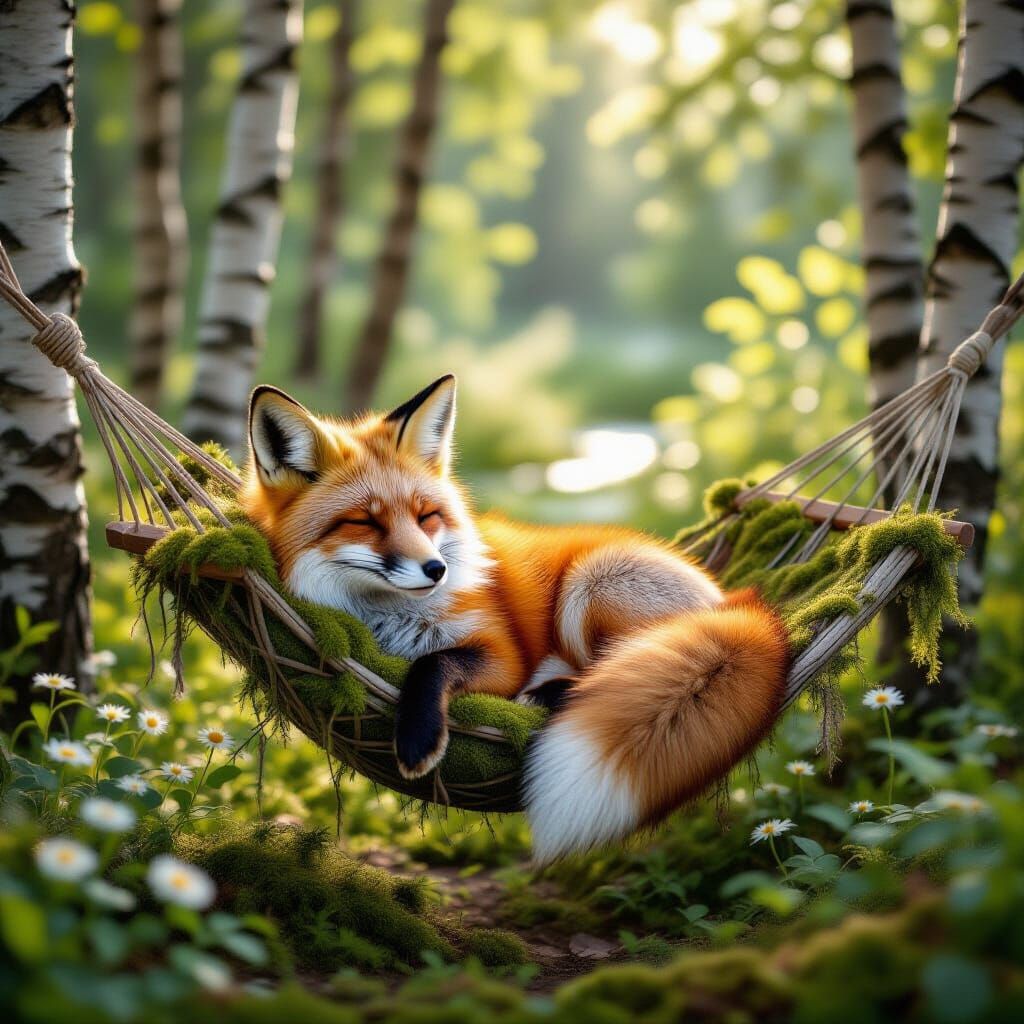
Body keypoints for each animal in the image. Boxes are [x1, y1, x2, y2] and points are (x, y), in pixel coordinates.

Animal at [240, 374, 791, 861]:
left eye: (426, 516)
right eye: (364, 522)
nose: (436, 569)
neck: (386, 622)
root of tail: (738, 603)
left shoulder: (502, 654)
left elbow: (433, 663)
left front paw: (417, 736)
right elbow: (431, 661)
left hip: (589, 585)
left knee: (618, 669)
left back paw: (551, 695)